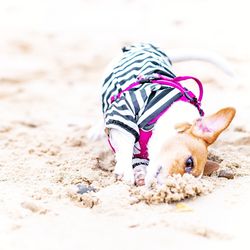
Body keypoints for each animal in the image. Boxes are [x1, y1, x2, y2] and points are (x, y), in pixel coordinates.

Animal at [100, 44, 235, 187]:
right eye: (189, 163)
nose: (171, 185)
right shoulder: (124, 109)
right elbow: (127, 140)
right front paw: (125, 171)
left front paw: (140, 173)